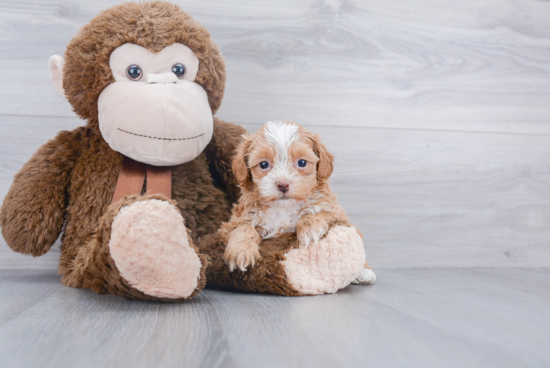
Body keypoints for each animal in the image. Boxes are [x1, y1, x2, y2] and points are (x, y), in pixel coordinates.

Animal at [222, 120, 378, 284]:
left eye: (302, 162)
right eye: (263, 164)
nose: (283, 184)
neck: (283, 208)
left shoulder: (334, 210)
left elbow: (320, 209)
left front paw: (310, 228)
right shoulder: (235, 220)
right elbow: (244, 227)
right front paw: (240, 251)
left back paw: (364, 272)